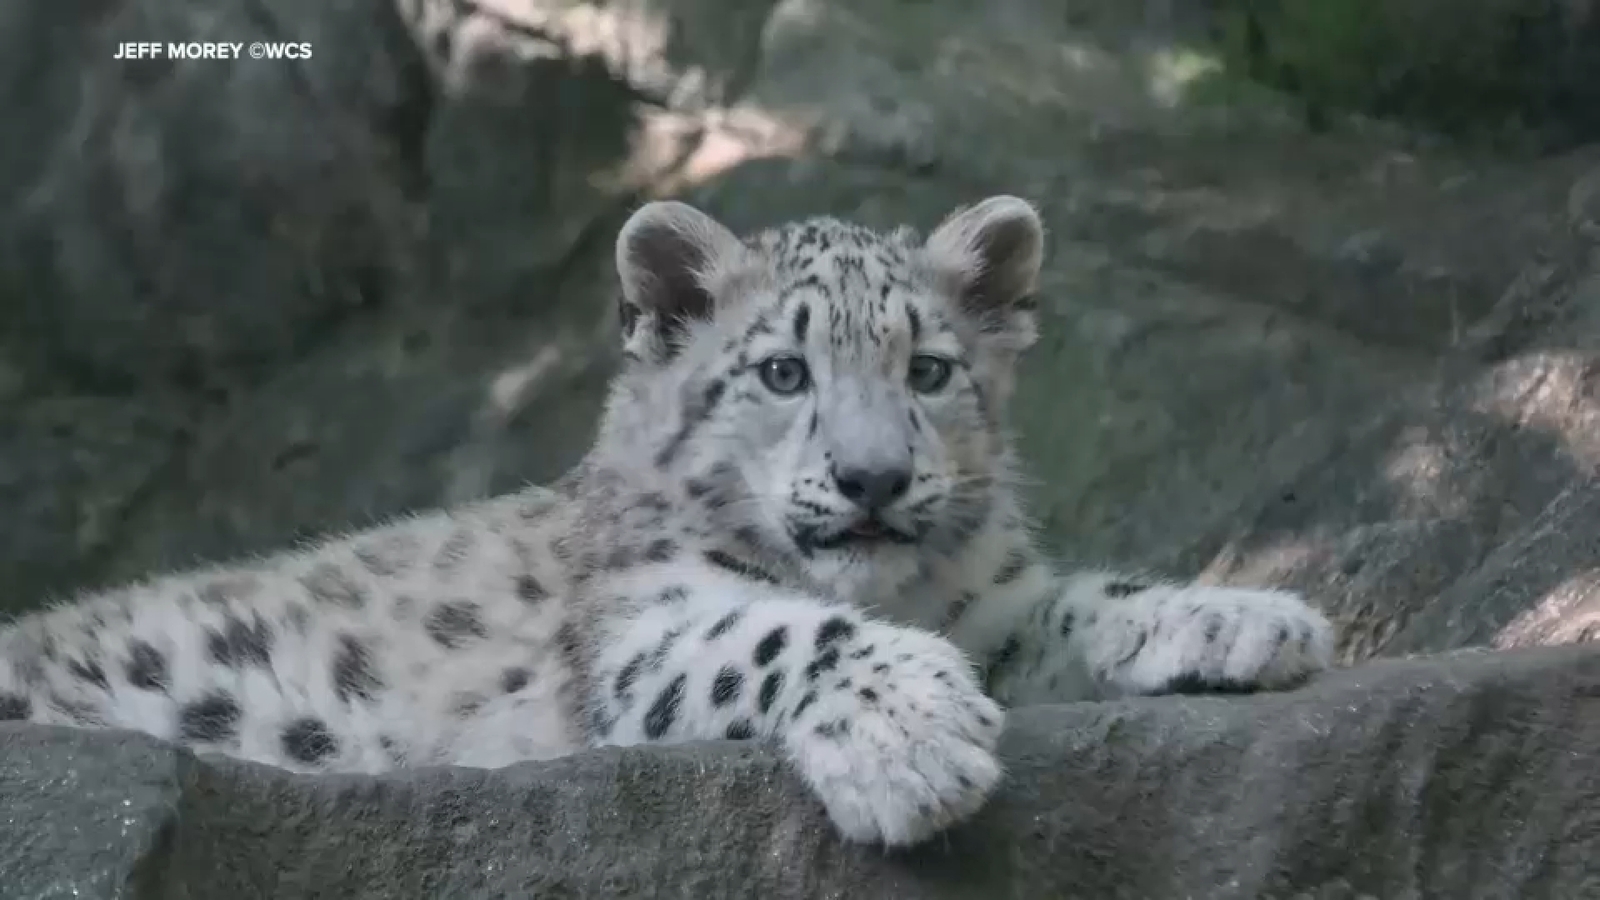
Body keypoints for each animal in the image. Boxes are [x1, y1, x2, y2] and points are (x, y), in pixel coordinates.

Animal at [0, 195, 1335, 847]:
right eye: (783, 372)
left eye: (929, 370)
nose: (871, 479)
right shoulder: (640, 628)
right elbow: (782, 633)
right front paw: (912, 744)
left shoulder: (993, 606)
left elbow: (1080, 603)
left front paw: (1243, 620)